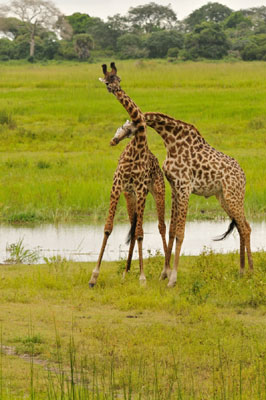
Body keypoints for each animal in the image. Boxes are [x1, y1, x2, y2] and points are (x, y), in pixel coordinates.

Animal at [88, 63, 166, 288]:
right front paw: (94, 277)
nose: (116, 90)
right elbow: (108, 228)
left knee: (161, 227)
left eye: (119, 79)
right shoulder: (118, 186)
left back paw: (164, 272)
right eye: (107, 82)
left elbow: (140, 233)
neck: (137, 145)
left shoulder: (141, 188)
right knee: (133, 224)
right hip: (129, 196)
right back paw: (126, 271)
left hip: (156, 191)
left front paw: (142, 277)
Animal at [112, 111, 254, 288]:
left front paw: (172, 279)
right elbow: (172, 230)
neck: (171, 141)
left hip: (233, 196)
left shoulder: (185, 187)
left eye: (125, 127)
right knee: (243, 227)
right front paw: (164, 274)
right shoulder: (175, 188)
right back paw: (241, 271)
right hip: (224, 198)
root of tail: (243, 176)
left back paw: (251, 272)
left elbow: (180, 233)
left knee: (246, 228)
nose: (115, 139)